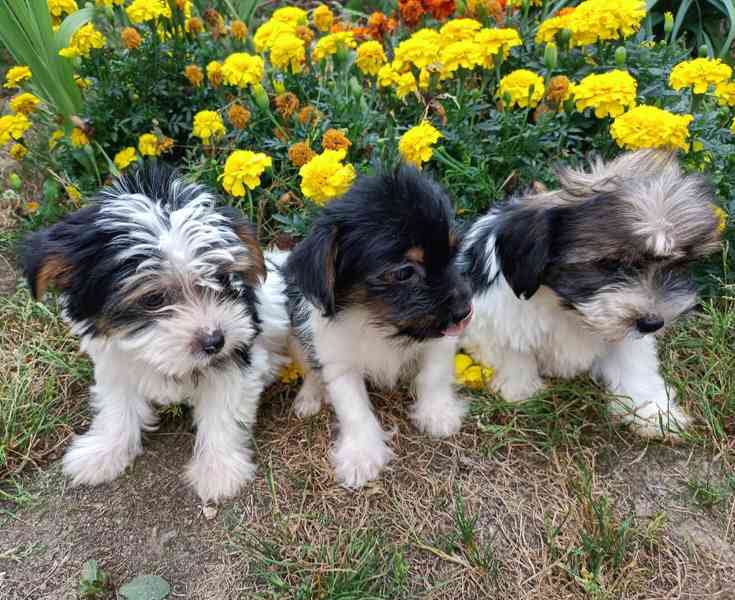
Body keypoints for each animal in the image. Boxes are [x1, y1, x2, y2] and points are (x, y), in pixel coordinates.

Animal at [23, 166, 288, 504]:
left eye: (220, 279)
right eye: (153, 299)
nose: (215, 341)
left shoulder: (237, 352)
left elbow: (223, 411)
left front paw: (218, 470)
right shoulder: (114, 360)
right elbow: (117, 406)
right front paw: (104, 451)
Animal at [284, 165, 474, 488]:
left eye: (453, 253)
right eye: (404, 272)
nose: (465, 312)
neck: (378, 322)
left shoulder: (440, 339)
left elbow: (433, 376)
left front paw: (436, 413)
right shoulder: (339, 363)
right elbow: (354, 409)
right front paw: (361, 454)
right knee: (310, 369)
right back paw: (310, 396)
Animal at [460, 150, 724, 436]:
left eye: (676, 265)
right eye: (611, 264)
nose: (652, 323)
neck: (568, 307)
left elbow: (635, 366)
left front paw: (654, 412)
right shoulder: (495, 319)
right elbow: (512, 352)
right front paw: (521, 389)